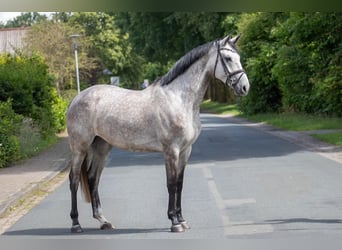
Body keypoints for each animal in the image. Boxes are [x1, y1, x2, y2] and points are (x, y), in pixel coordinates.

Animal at [66, 34, 248, 233]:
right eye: (228, 58)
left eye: (239, 57)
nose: (245, 87)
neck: (178, 98)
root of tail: (76, 98)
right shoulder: (171, 150)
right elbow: (171, 184)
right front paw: (174, 222)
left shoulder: (185, 151)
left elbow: (180, 184)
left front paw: (182, 220)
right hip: (80, 148)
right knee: (74, 180)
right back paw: (76, 224)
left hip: (101, 147)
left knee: (93, 179)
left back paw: (103, 221)